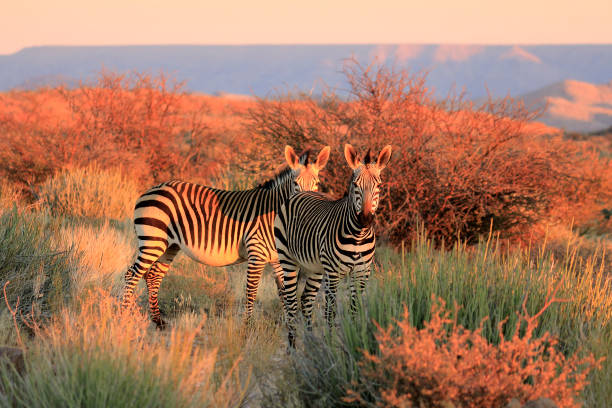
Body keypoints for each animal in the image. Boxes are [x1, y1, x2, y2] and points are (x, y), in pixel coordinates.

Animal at [120, 145, 330, 326]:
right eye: (295, 184)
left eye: (317, 184)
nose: (307, 204)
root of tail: (150, 190)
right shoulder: (256, 252)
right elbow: (251, 290)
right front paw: (247, 327)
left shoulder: (277, 258)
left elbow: (285, 291)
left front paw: (289, 323)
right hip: (153, 241)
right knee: (131, 274)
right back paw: (123, 315)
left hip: (169, 245)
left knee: (153, 276)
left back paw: (158, 321)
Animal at [274, 143, 390, 348]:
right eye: (355, 185)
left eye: (379, 186)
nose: (365, 219)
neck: (358, 235)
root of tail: (302, 192)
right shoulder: (334, 273)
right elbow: (330, 311)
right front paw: (331, 344)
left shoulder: (362, 272)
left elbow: (355, 308)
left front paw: (356, 339)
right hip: (288, 259)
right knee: (291, 302)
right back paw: (292, 347)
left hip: (316, 268)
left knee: (306, 300)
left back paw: (311, 343)